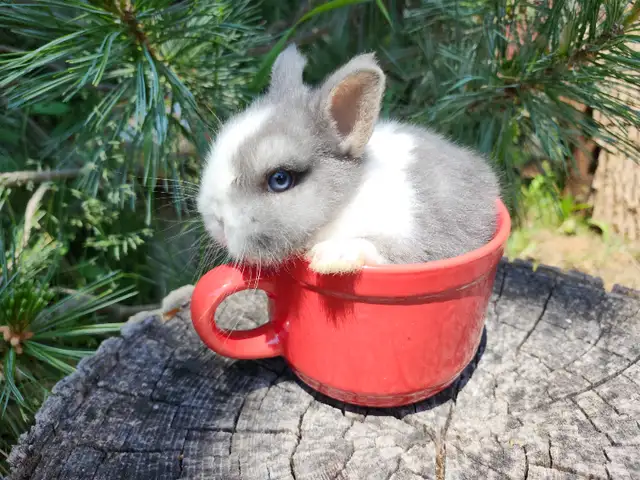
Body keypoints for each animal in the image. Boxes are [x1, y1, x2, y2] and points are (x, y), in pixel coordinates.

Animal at [197, 44, 500, 274]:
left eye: (280, 179)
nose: (217, 222)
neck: (345, 201)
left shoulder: (420, 240)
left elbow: (380, 248)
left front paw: (329, 256)